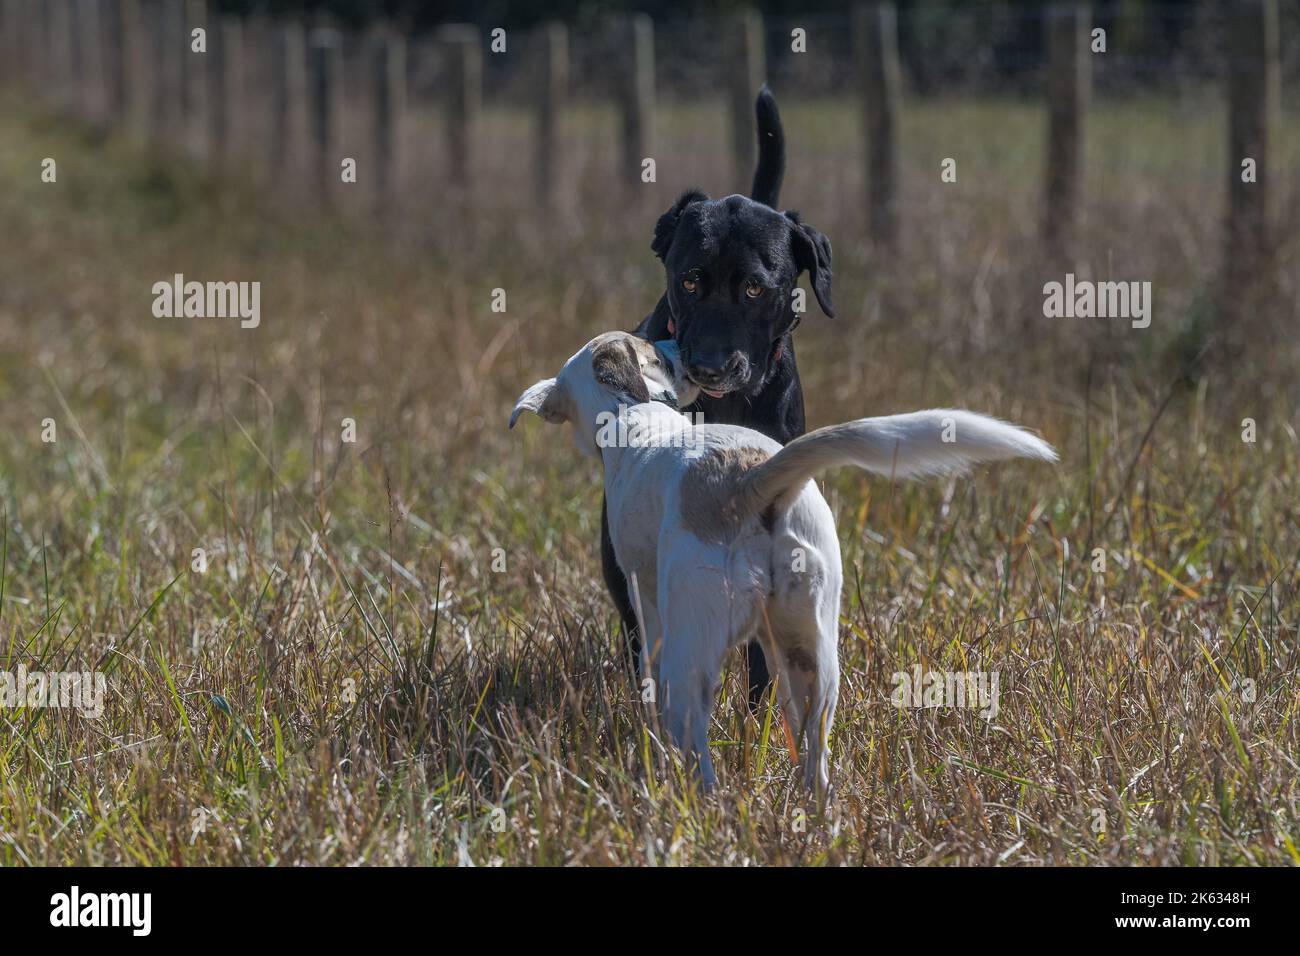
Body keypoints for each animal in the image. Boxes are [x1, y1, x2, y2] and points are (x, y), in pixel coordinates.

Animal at [506, 332, 1055, 796]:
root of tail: (750, 479)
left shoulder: (648, 614)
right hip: (811, 655)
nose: (681, 344)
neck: (631, 414)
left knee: (697, 746)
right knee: (817, 758)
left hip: (694, 647)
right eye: (659, 352)